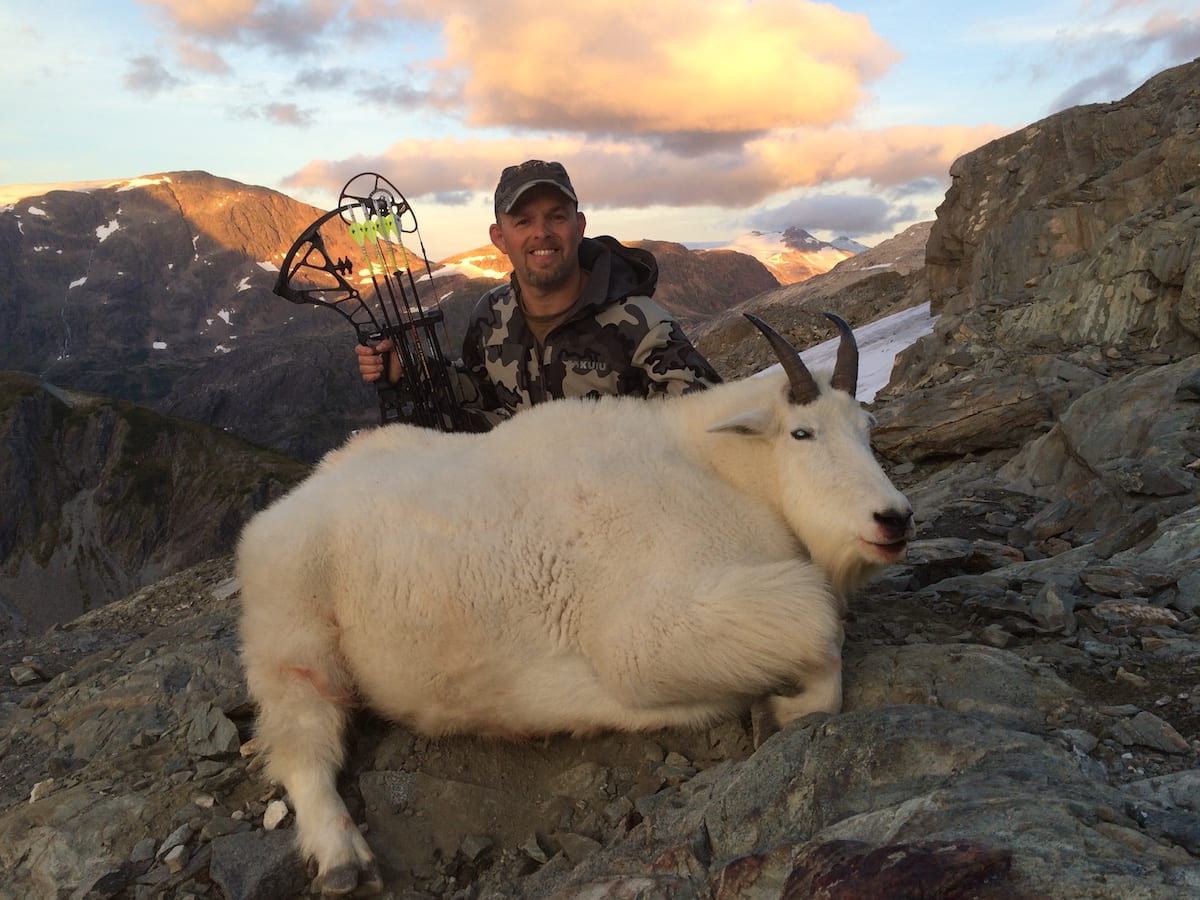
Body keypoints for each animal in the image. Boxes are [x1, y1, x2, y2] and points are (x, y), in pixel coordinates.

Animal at [241, 314, 916, 897]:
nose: (893, 520)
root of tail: (272, 520)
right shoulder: (641, 634)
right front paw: (783, 705)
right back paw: (341, 858)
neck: (720, 475)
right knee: (303, 745)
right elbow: (818, 627)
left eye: (866, 430)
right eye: (802, 433)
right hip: (294, 640)